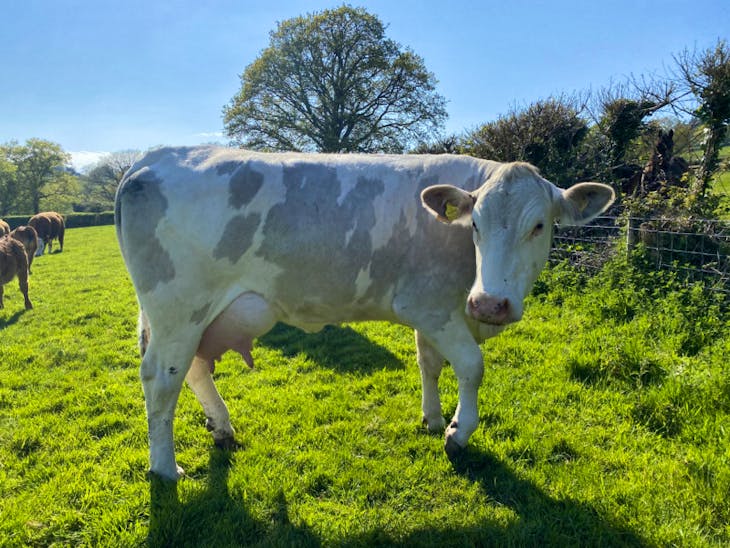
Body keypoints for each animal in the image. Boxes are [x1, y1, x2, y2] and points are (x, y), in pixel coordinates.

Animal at [115, 146, 616, 480]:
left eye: (540, 226)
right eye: (475, 224)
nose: (490, 303)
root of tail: (152, 158)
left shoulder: (436, 308)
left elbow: (428, 363)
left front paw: (433, 419)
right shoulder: (429, 305)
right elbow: (471, 366)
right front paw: (458, 432)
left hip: (194, 316)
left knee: (194, 369)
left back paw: (221, 429)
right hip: (178, 309)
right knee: (162, 379)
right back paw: (165, 468)